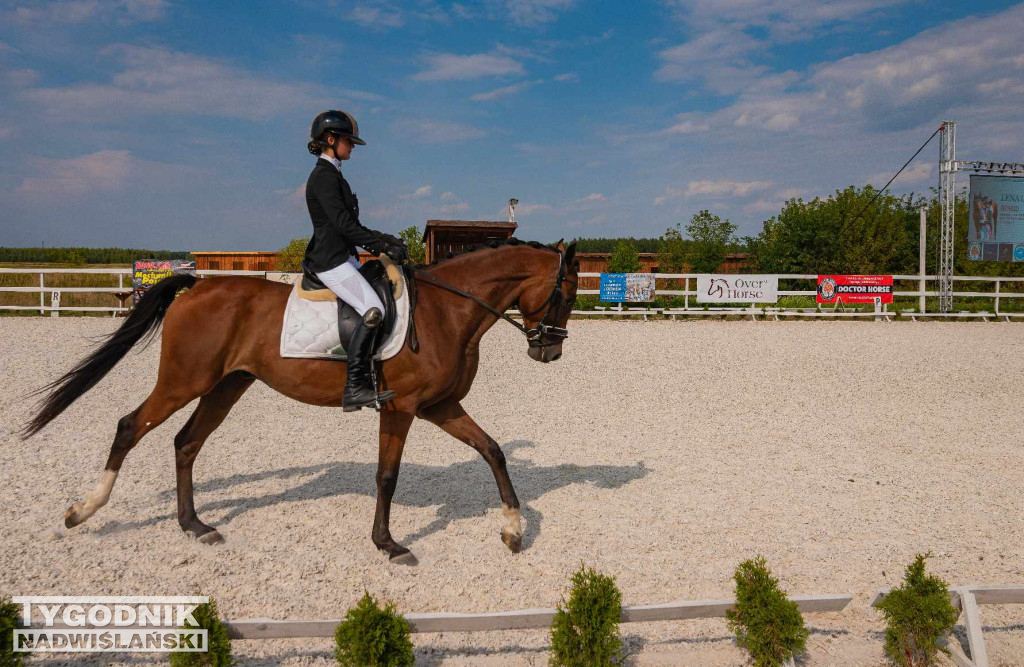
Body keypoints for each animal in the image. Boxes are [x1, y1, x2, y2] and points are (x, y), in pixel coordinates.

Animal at [24, 239, 581, 565]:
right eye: (567, 292)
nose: (549, 351)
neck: (448, 310)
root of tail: (197, 286)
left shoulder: (437, 406)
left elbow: (493, 451)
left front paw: (512, 530)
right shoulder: (401, 408)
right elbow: (387, 475)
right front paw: (388, 544)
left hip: (226, 385)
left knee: (186, 443)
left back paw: (195, 526)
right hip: (184, 381)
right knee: (129, 427)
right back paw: (82, 512)